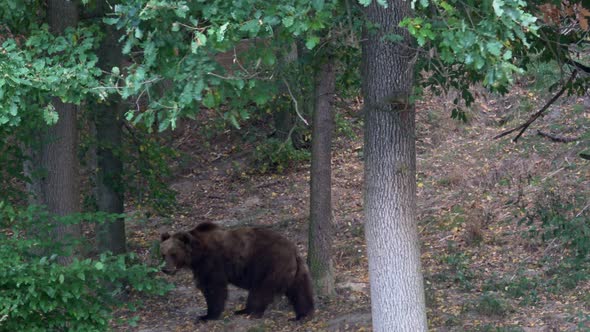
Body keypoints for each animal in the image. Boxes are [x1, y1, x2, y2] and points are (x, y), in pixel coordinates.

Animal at [157, 223, 314, 322]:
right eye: (163, 254)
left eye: (173, 254)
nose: (165, 269)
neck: (197, 255)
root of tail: (293, 251)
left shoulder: (211, 262)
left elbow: (213, 288)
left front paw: (207, 315)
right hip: (298, 270)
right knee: (300, 291)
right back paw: (302, 315)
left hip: (269, 265)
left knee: (260, 290)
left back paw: (247, 311)